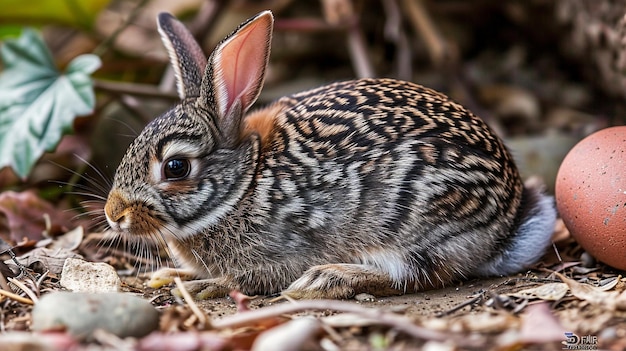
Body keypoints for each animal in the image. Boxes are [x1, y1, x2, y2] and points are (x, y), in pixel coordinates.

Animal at [103, 11, 556, 300]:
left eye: (176, 167)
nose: (113, 214)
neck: (243, 186)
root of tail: (509, 220)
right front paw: (168, 274)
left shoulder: (285, 248)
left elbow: (250, 277)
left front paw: (204, 285)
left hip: (420, 223)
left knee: (413, 275)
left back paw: (326, 280)